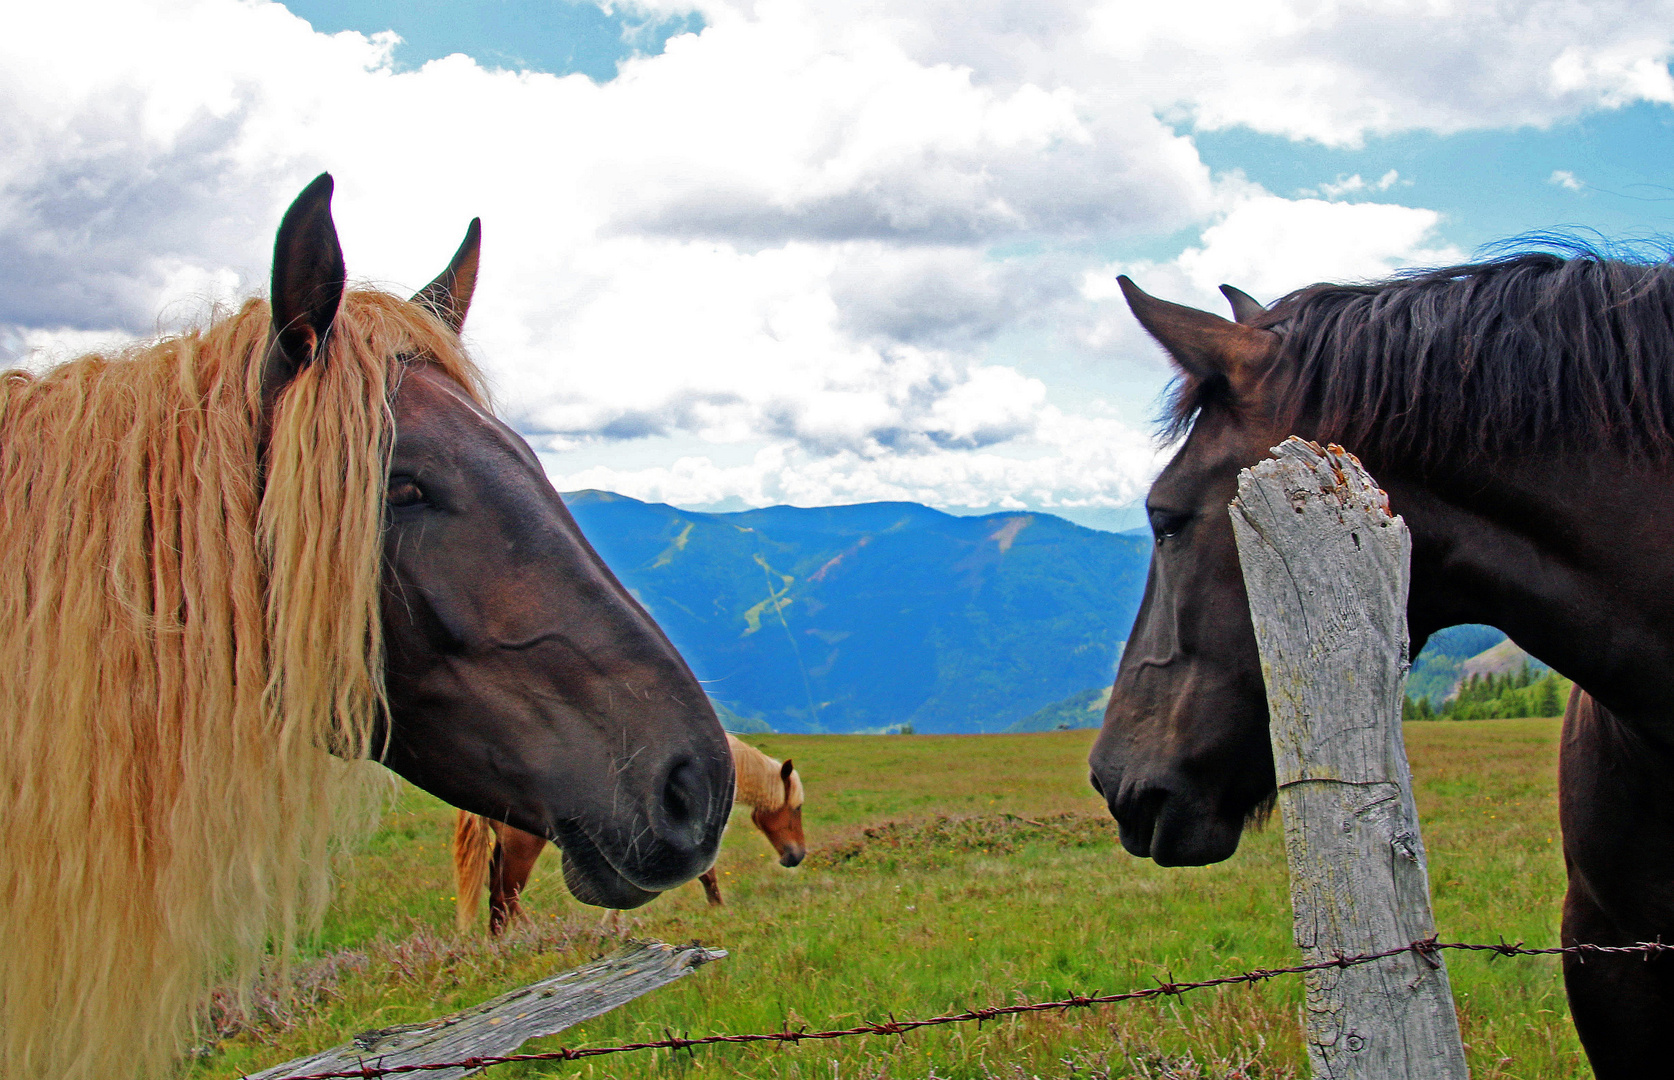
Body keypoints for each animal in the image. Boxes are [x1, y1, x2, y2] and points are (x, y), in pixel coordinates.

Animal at [451, 733, 803, 937]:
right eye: (797, 808)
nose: (797, 855)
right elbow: (707, 875)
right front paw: (719, 908)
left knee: (498, 894)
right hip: (522, 846)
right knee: (507, 895)